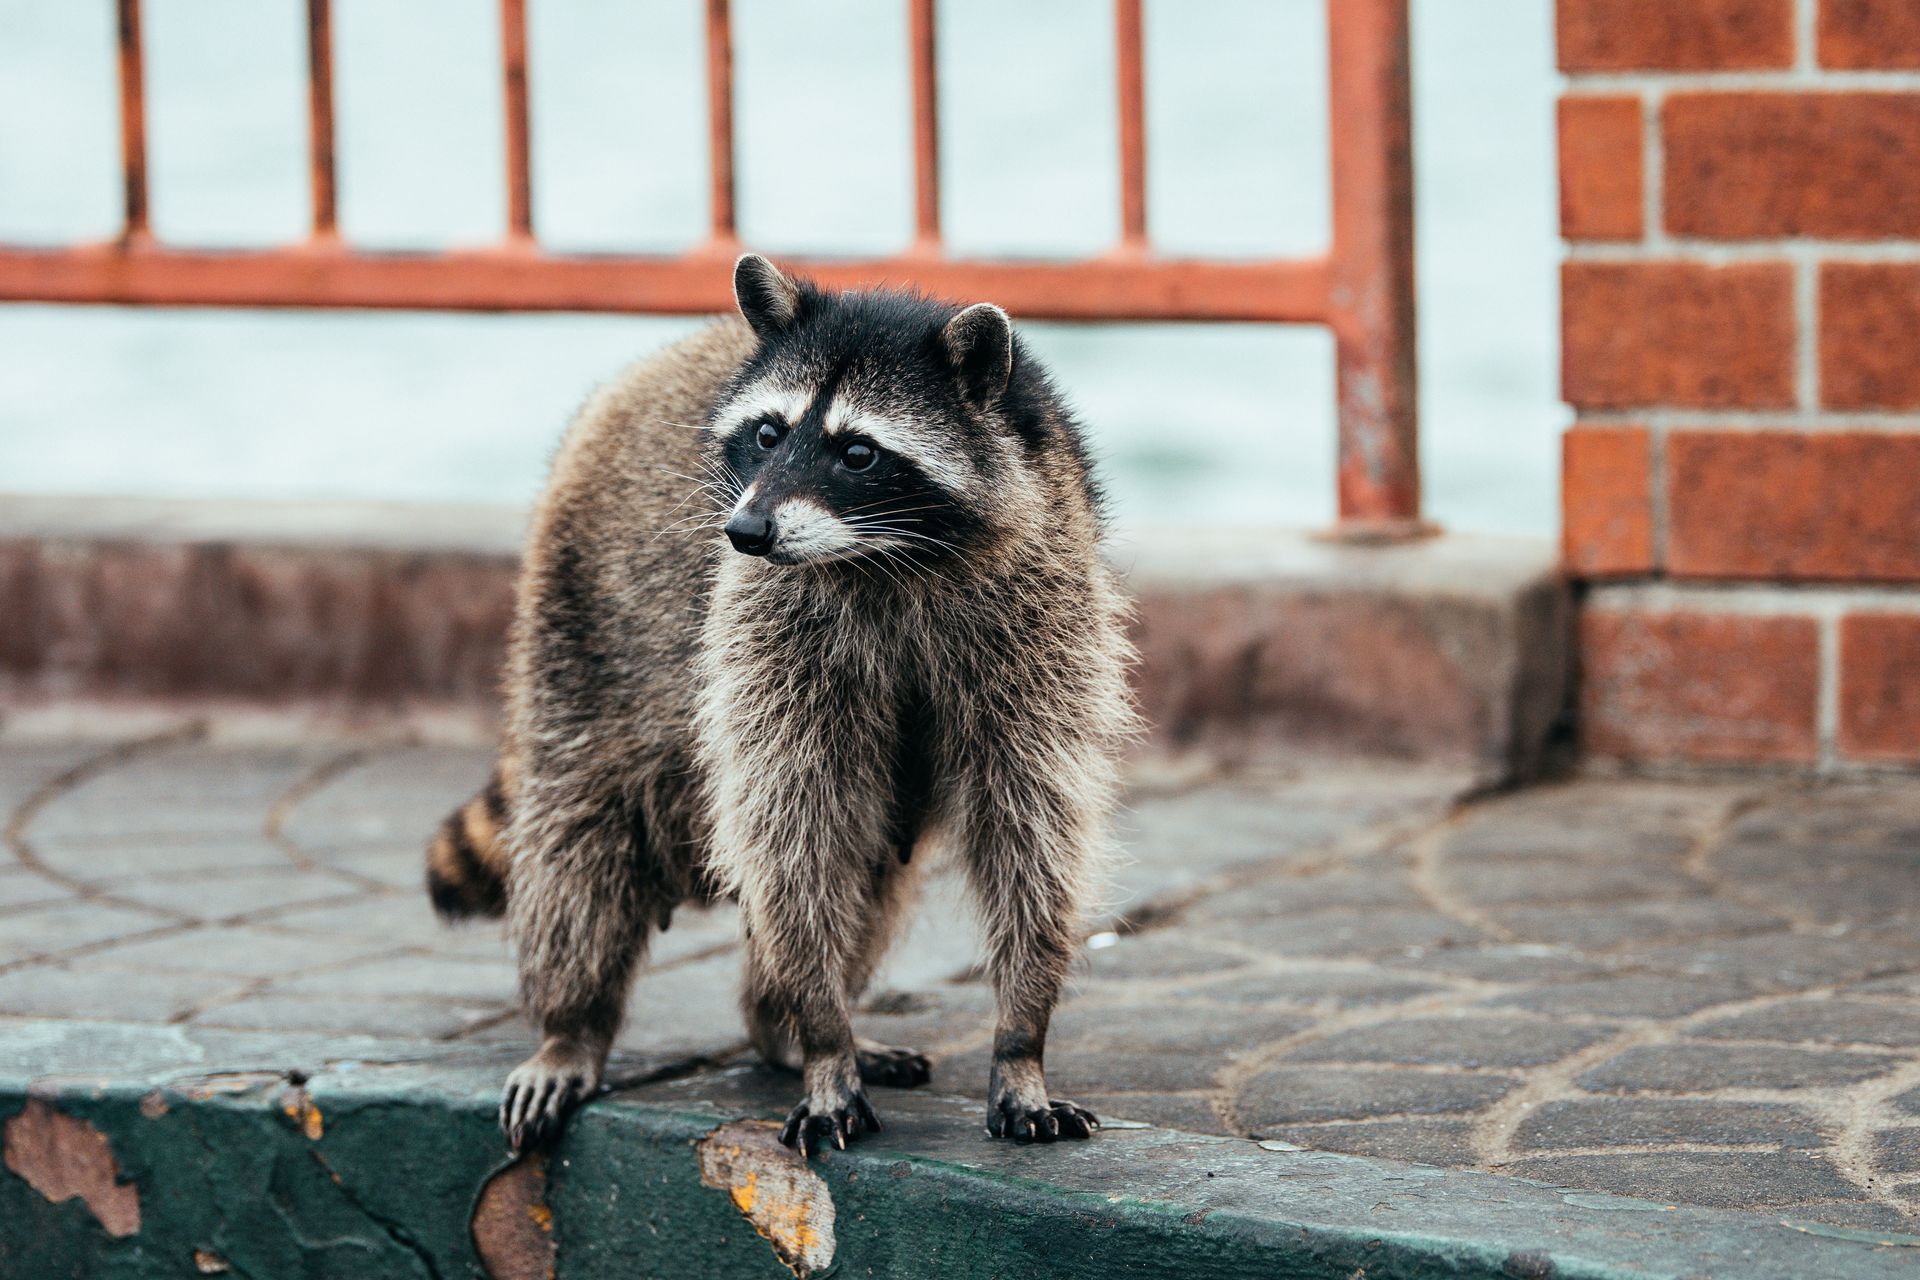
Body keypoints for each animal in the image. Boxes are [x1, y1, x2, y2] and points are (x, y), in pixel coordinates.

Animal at [427, 255, 1136, 1156]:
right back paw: (577, 1025)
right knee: (581, 840)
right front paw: (824, 1040)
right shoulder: (767, 624)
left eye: (859, 453)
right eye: (768, 434)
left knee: (870, 870)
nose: (747, 529)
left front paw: (1021, 1039)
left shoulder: (1043, 608)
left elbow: (1031, 821)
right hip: (578, 624)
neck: (888, 557)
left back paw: (771, 1024)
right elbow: (793, 828)